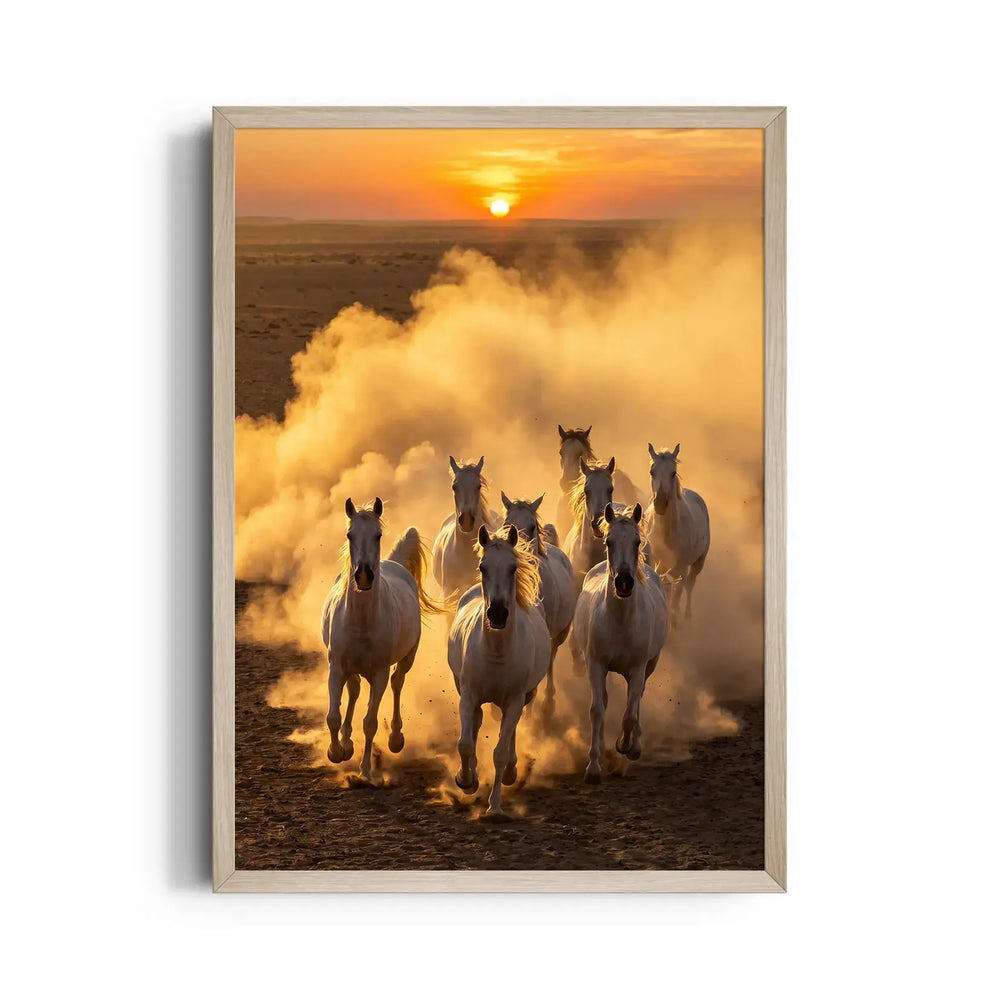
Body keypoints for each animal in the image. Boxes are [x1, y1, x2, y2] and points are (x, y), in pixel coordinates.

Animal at [321, 497, 444, 781]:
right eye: (350, 534)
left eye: (377, 535)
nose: (364, 575)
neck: (362, 621)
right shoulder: (337, 667)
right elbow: (333, 716)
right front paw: (336, 751)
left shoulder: (379, 673)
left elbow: (370, 722)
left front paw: (366, 770)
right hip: (351, 669)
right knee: (354, 691)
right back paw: (346, 742)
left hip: (407, 658)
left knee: (398, 683)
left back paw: (396, 738)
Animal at [447, 524, 550, 817]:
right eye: (483, 567)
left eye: (513, 568)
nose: (497, 613)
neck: (496, 653)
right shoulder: (468, 695)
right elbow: (465, 744)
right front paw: (466, 780)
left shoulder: (514, 700)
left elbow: (500, 752)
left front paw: (494, 807)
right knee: (477, 721)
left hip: (524, 696)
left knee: (510, 731)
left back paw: (512, 772)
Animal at [571, 503, 668, 784]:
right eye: (609, 541)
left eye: (637, 542)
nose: (623, 582)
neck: (620, 621)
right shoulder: (596, 664)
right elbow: (597, 709)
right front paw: (593, 767)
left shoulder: (637, 668)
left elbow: (629, 715)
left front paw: (625, 746)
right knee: (605, 701)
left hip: (650, 665)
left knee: (637, 700)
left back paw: (634, 745)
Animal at [647, 443, 711, 621]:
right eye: (652, 472)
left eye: (673, 472)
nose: (660, 503)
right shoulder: (656, 564)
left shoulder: (681, 569)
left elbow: (677, 598)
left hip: (697, 563)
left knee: (689, 585)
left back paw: (687, 617)